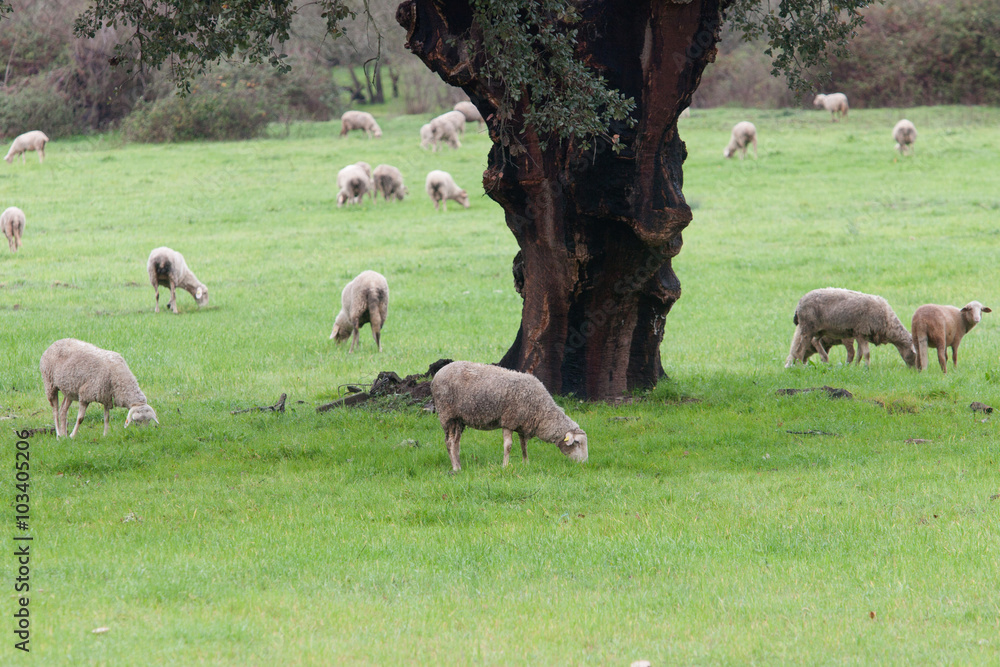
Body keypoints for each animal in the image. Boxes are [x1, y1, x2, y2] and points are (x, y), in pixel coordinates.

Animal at [430, 361, 588, 472]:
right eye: (577, 442)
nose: (584, 464)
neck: (541, 411)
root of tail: (437, 374)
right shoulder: (509, 420)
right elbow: (508, 446)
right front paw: (505, 466)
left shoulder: (522, 424)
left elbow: (524, 446)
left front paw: (526, 464)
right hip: (447, 415)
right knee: (450, 442)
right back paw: (456, 468)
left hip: (459, 419)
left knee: (456, 442)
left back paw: (459, 465)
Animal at [784, 288, 917, 368]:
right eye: (914, 353)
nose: (915, 370)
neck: (888, 323)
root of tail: (798, 304)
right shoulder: (861, 332)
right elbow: (866, 353)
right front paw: (866, 368)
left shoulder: (860, 335)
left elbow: (860, 354)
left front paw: (856, 367)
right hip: (807, 328)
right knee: (800, 351)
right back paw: (801, 366)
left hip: (820, 330)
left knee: (815, 342)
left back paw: (825, 358)